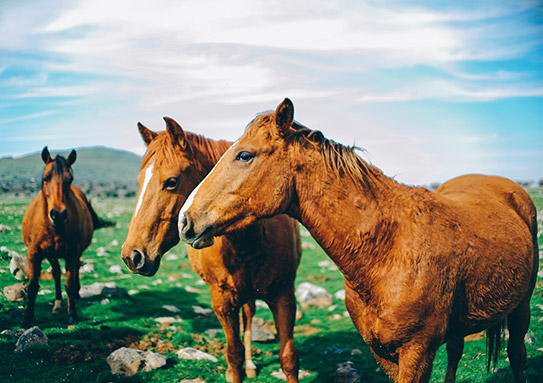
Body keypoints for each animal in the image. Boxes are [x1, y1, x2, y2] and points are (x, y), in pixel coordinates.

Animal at [21, 146, 113, 328]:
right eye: (45, 178)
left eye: (69, 179)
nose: (58, 215)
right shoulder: (34, 254)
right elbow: (33, 285)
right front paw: (27, 319)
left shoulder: (72, 253)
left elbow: (69, 284)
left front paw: (72, 316)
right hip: (52, 255)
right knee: (56, 274)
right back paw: (57, 303)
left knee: (74, 271)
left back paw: (76, 296)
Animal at [119, 118, 304, 383]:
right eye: (138, 181)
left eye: (171, 181)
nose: (132, 255)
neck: (249, 241)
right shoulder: (222, 301)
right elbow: (233, 354)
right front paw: (234, 370)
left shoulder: (284, 295)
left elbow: (288, 358)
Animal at [180, 100, 540, 383]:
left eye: (244, 155)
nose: (185, 220)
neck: (389, 249)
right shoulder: (383, 354)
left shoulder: (417, 353)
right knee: (456, 350)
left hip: (521, 307)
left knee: (517, 353)